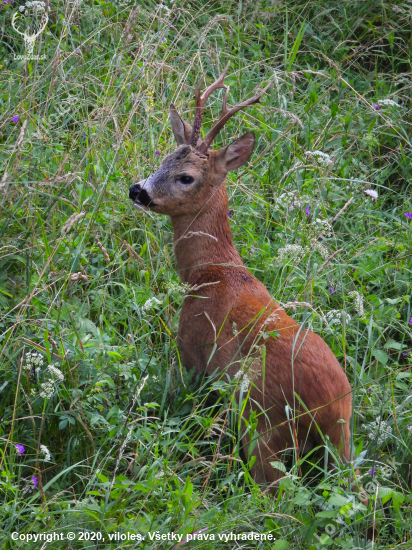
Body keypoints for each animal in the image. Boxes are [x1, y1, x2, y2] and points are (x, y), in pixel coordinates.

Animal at [128, 62, 360, 494]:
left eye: (186, 177)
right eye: (164, 158)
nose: (138, 190)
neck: (211, 272)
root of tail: (331, 407)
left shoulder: (194, 355)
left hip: (262, 421)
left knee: (272, 490)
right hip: (340, 445)